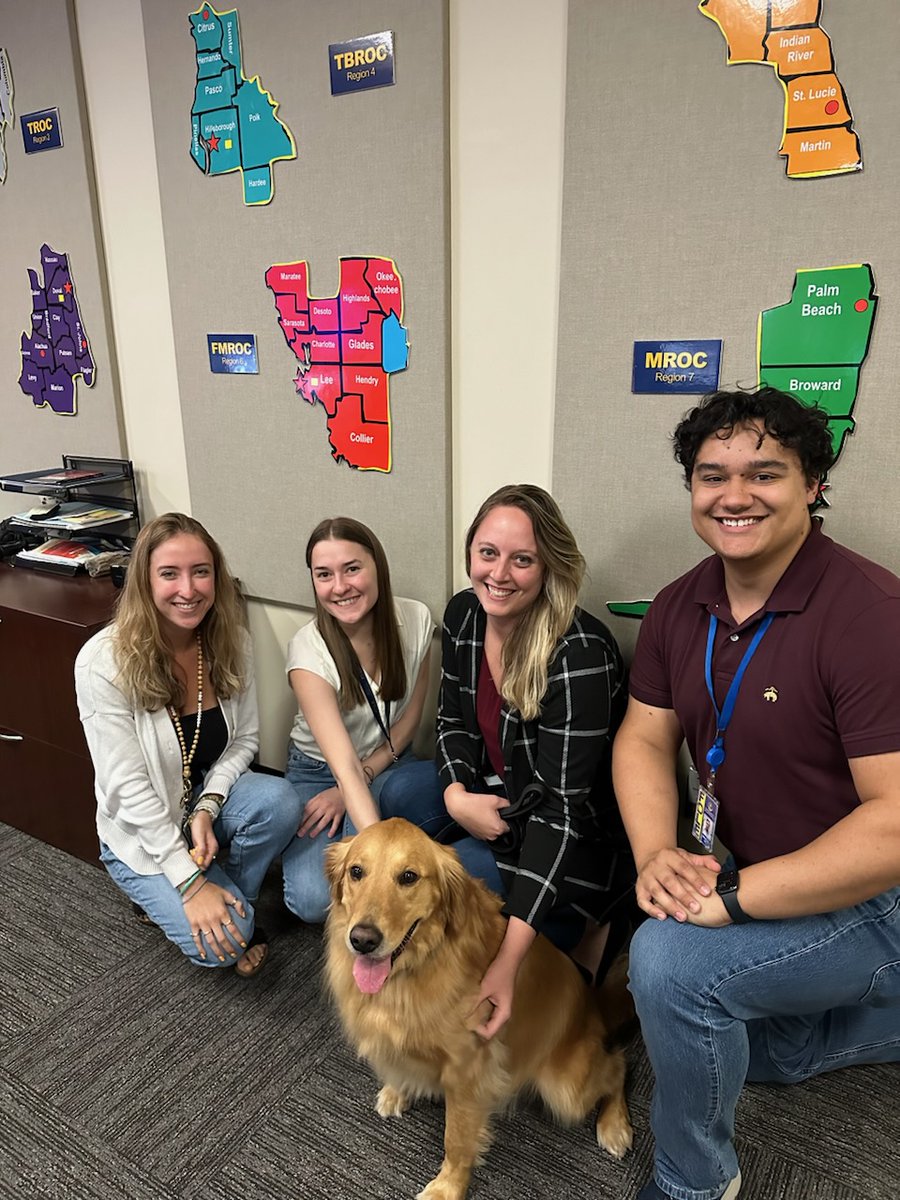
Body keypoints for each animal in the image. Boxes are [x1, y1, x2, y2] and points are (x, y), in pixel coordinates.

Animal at [326, 816, 633, 1200]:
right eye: (356, 871)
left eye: (409, 877)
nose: (362, 940)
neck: (415, 968)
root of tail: (593, 1001)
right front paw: (398, 1089)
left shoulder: (467, 1069)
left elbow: (456, 1139)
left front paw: (448, 1187)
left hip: (566, 1089)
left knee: (618, 1066)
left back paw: (615, 1124)